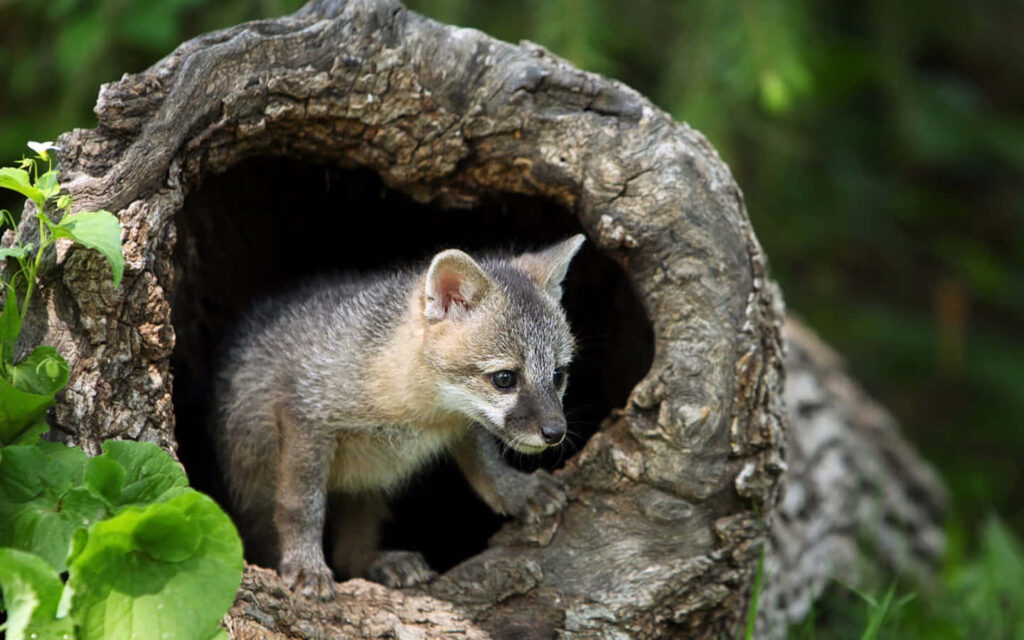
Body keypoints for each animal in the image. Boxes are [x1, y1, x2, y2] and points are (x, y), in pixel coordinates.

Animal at [213, 234, 585, 599]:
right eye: (504, 379)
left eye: (558, 375)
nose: (556, 432)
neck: (420, 415)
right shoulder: (304, 417)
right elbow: (302, 507)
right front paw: (305, 564)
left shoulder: (462, 423)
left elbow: (486, 464)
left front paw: (515, 489)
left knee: (350, 554)